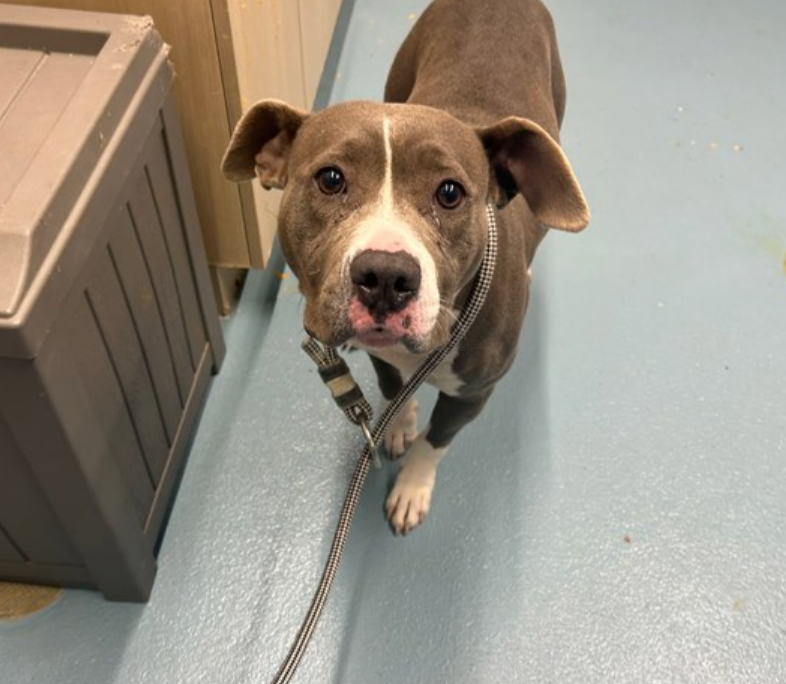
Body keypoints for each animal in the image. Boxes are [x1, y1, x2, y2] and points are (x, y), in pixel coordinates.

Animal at [221, 0, 589, 535]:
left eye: (450, 192)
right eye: (330, 179)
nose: (386, 277)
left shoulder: (474, 395)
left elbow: (436, 442)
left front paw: (412, 488)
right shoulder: (381, 356)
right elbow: (394, 388)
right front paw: (398, 423)